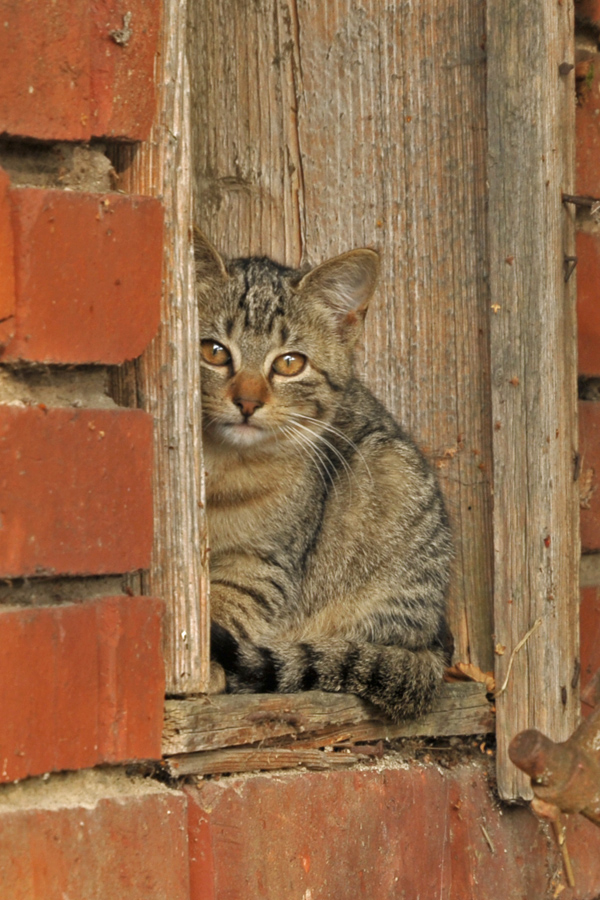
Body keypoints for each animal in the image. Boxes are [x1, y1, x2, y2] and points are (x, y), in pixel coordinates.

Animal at [195, 229, 452, 720]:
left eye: (289, 363)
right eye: (213, 351)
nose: (247, 402)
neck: (223, 465)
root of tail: (434, 643)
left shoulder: (263, 562)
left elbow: (229, 604)